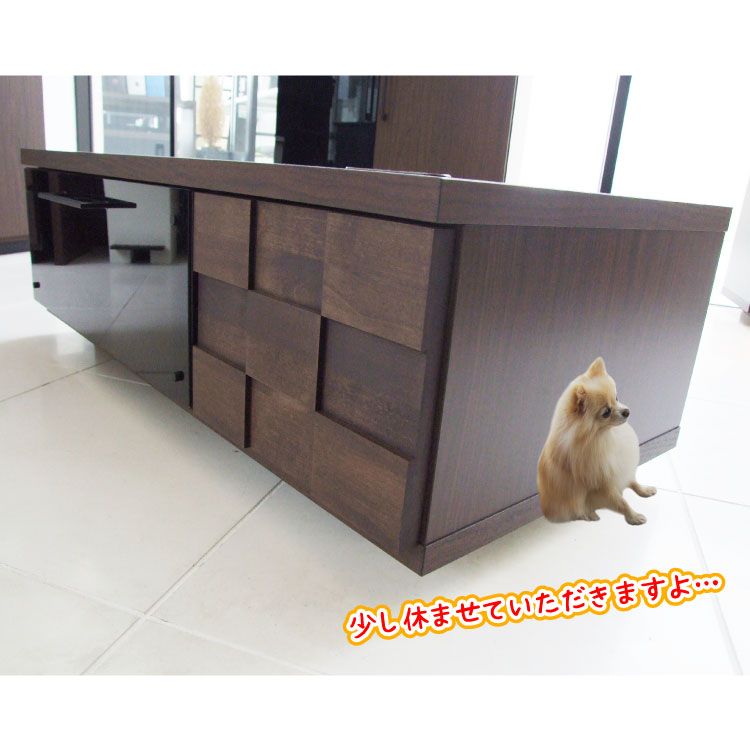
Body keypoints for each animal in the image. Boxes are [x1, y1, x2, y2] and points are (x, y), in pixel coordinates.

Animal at [537, 357, 656, 525]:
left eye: (616, 398)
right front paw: (633, 516)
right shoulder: (602, 484)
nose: (627, 412)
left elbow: (632, 480)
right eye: (606, 412)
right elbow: (621, 502)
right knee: (575, 512)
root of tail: (546, 512)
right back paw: (589, 514)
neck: (604, 437)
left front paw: (644, 490)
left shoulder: (619, 467)